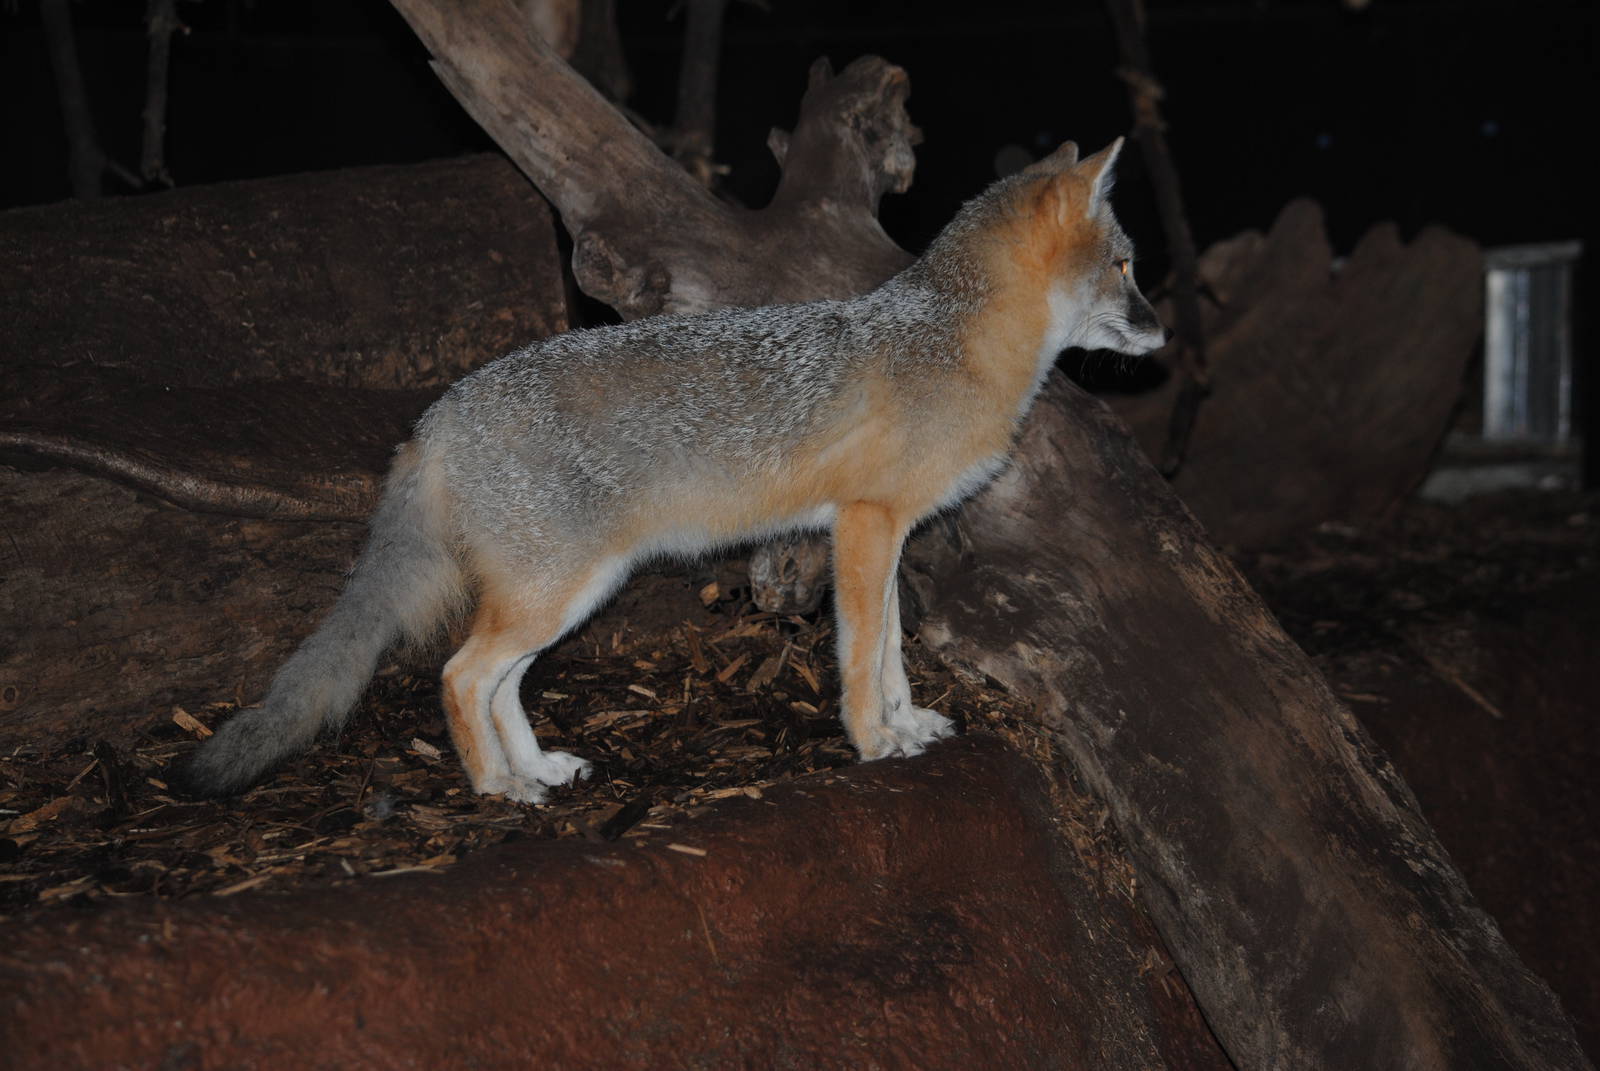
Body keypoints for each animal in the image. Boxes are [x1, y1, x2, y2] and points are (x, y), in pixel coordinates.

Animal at [185, 138, 1167, 803]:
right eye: (1125, 265)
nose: (1163, 334)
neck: (951, 342)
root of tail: (435, 416)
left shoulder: (886, 534)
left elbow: (891, 649)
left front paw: (909, 722)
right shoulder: (864, 526)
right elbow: (861, 655)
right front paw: (871, 742)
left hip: (568, 593)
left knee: (502, 681)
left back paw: (538, 766)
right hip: (553, 592)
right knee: (461, 675)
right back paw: (498, 787)